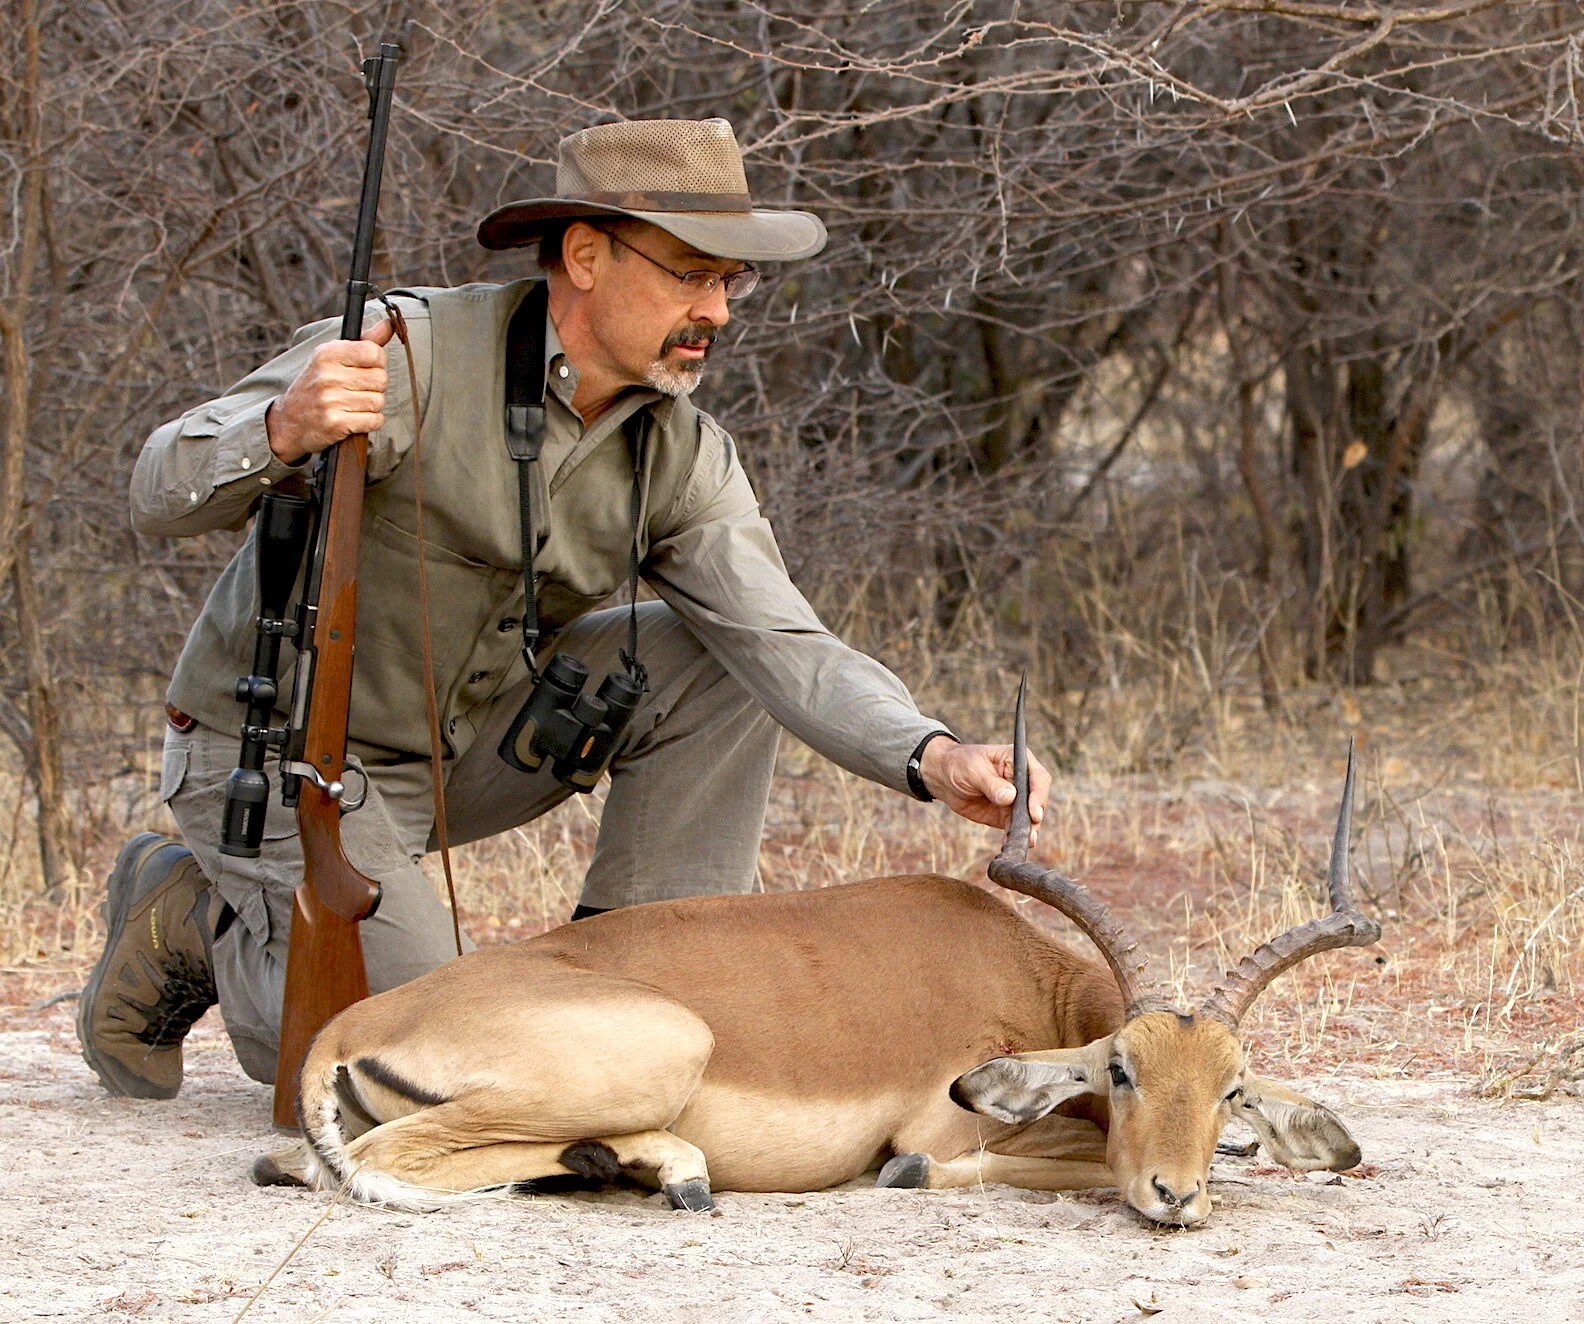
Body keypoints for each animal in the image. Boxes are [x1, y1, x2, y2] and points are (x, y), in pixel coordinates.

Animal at [294, 684, 1380, 1226]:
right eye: (1120, 1070)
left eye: (1232, 1088)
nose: (1175, 1195)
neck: (1020, 976)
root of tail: (352, 1025)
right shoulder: (946, 1128)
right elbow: (1011, 1161)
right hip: (658, 1053)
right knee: (381, 1163)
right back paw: (669, 1172)